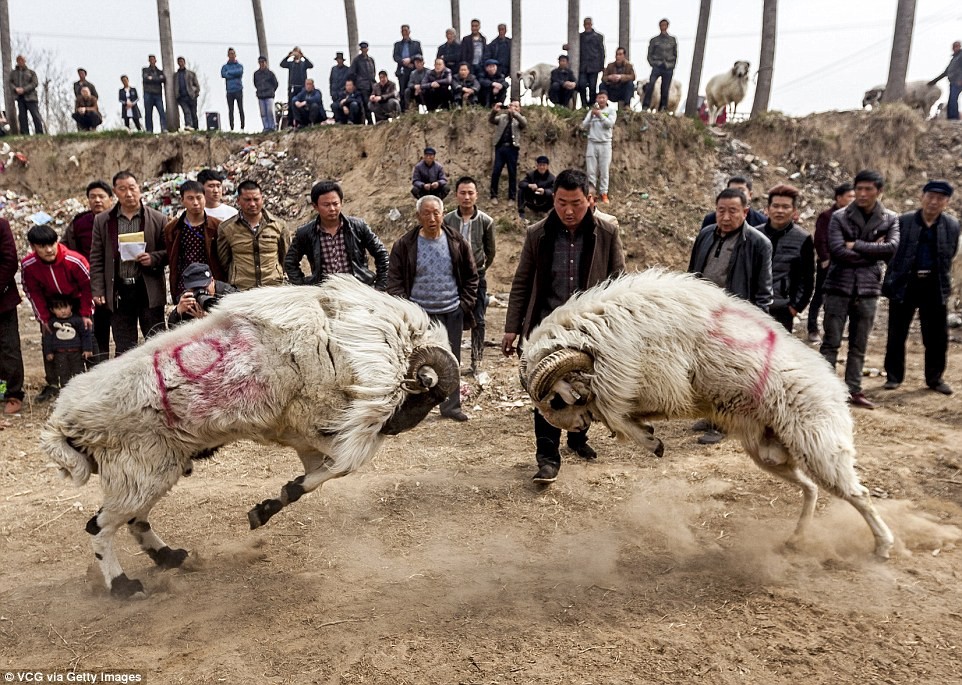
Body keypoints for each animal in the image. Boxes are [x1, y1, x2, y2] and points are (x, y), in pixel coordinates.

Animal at [45, 276, 462, 596]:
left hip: (155, 470)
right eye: (427, 394)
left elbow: (318, 476)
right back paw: (123, 587)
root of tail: (64, 423)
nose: (392, 427)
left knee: (133, 520)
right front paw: (269, 505)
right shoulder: (320, 427)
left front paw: (269, 505)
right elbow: (340, 467)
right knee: (100, 527)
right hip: (139, 471)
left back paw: (170, 556)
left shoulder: (306, 435)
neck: (347, 341)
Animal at [520, 270, 896, 560]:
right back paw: (796, 538)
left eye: (556, 400)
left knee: (858, 494)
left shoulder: (658, 381)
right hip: (769, 454)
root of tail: (834, 388)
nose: (579, 426)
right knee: (811, 489)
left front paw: (650, 439)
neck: (599, 336)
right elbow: (621, 412)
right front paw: (649, 434)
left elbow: (616, 412)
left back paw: (883, 546)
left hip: (817, 445)